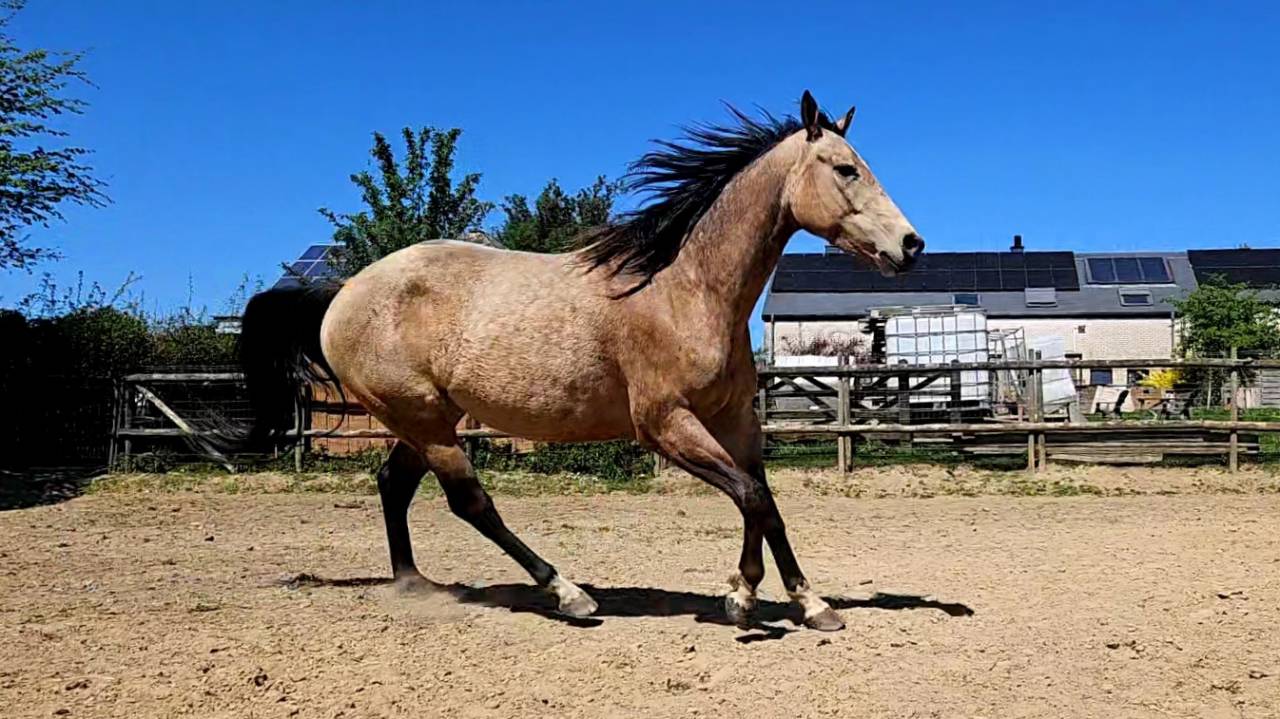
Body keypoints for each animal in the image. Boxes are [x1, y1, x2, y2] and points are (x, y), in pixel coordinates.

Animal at [230, 90, 923, 631]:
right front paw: (742, 598)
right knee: (470, 502)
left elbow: (767, 501)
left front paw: (807, 603)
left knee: (393, 486)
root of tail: (342, 292)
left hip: (423, 421)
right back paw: (568, 594)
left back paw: (417, 584)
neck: (685, 289)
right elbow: (751, 496)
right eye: (845, 169)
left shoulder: (735, 421)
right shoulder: (665, 424)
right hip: (425, 420)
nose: (910, 245)